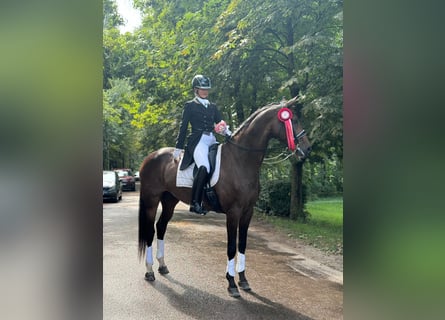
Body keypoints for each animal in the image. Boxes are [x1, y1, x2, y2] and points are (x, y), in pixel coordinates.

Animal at [137, 95, 310, 298]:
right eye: (293, 120)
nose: (307, 148)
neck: (240, 160)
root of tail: (151, 156)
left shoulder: (247, 212)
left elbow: (242, 244)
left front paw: (243, 280)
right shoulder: (233, 212)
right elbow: (231, 247)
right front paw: (232, 284)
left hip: (170, 200)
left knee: (161, 227)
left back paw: (162, 266)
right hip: (151, 201)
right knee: (150, 231)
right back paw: (149, 271)